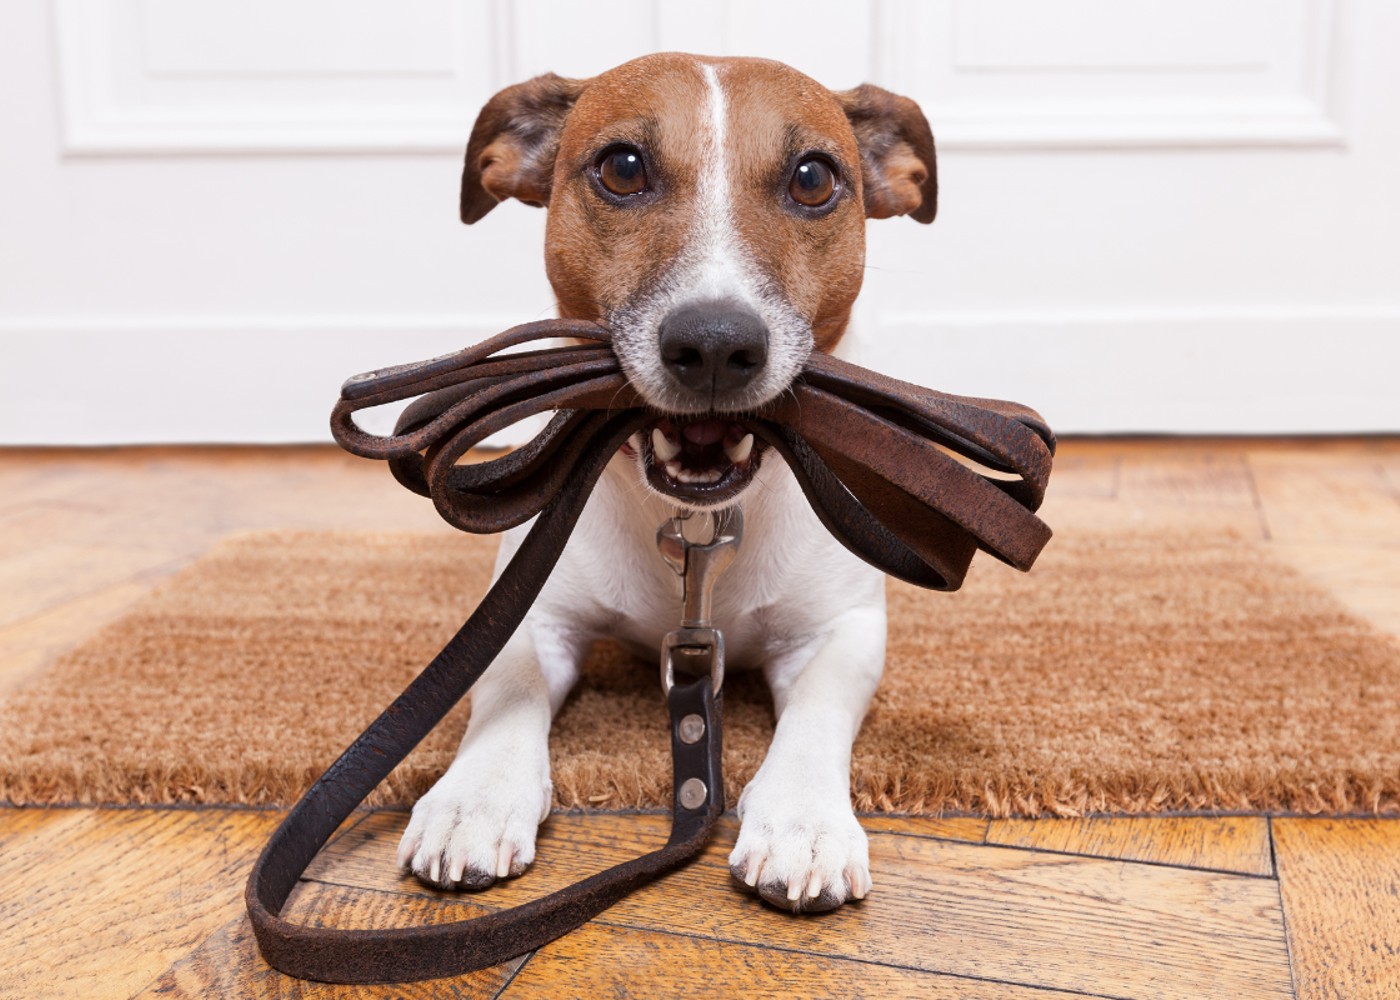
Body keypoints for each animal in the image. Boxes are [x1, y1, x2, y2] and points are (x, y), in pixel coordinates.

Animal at [394, 52, 935, 913]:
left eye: (813, 177)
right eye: (623, 168)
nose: (714, 345)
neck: (697, 522)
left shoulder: (841, 630)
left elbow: (818, 713)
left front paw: (803, 820)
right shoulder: (532, 611)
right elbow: (506, 688)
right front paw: (473, 796)